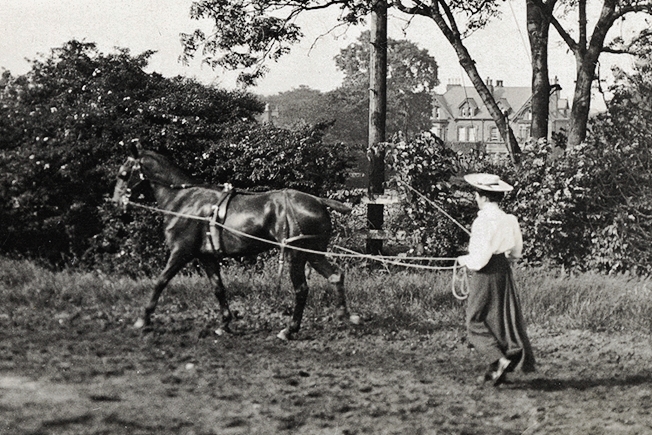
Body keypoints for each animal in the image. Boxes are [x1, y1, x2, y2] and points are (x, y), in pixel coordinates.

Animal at [111, 143, 359, 340]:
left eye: (123, 174)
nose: (115, 201)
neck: (184, 201)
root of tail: (317, 200)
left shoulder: (181, 252)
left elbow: (160, 282)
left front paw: (143, 319)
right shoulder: (207, 257)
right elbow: (218, 289)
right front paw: (224, 323)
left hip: (295, 255)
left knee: (301, 289)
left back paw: (289, 330)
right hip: (313, 253)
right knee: (335, 276)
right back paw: (346, 316)